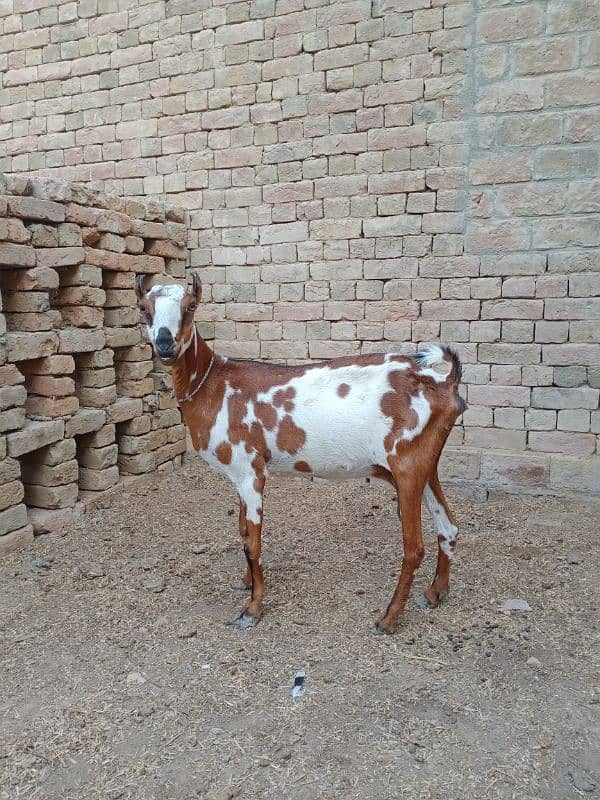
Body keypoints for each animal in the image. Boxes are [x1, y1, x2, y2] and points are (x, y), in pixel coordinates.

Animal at [138, 272, 466, 636]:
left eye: (191, 306)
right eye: (144, 308)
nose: (165, 344)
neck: (214, 385)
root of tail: (444, 382)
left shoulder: (251, 472)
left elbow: (252, 542)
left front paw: (252, 608)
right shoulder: (239, 474)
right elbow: (242, 531)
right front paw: (245, 581)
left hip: (408, 466)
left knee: (414, 548)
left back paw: (389, 617)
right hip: (426, 465)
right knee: (449, 527)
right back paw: (435, 593)